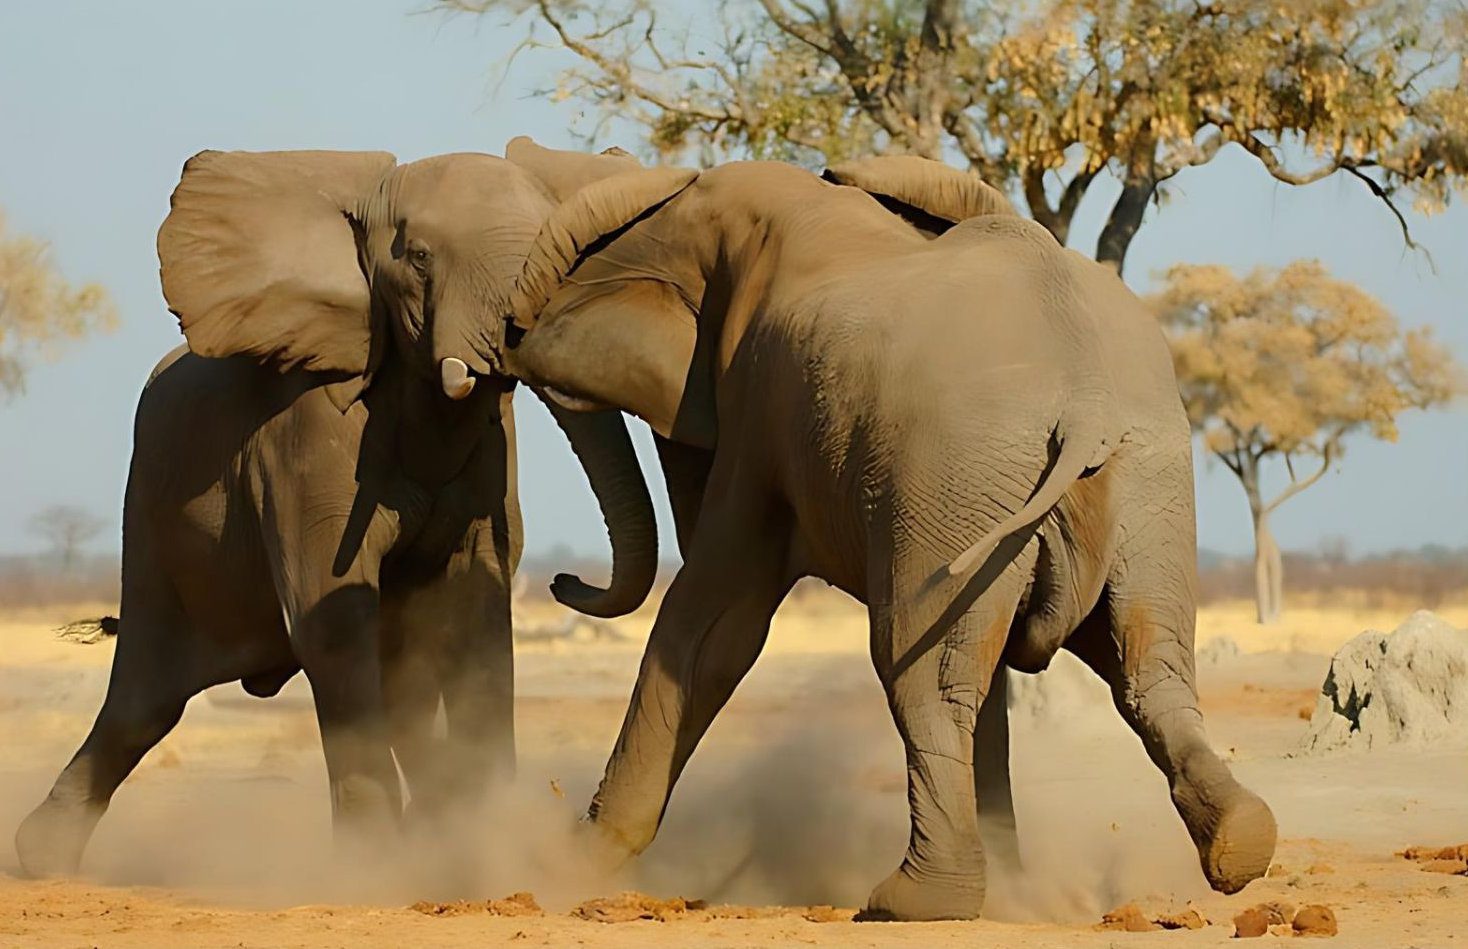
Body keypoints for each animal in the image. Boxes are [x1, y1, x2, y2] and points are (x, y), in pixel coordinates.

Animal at [14, 148, 660, 877]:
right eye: (419, 257)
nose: (565, 580)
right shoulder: (305, 429)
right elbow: (332, 610)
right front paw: (372, 866)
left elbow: (475, 615)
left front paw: (484, 846)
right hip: (150, 509)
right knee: (146, 697)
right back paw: (40, 857)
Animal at [465, 143, 1278, 921]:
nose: (562, 580)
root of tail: (1084, 406)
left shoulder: (759, 408)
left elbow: (714, 623)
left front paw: (564, 861)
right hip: (1140, 488)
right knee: (1143, 667)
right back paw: (1237, 844)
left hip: (961, 473)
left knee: (920, 671)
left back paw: (910, 902)